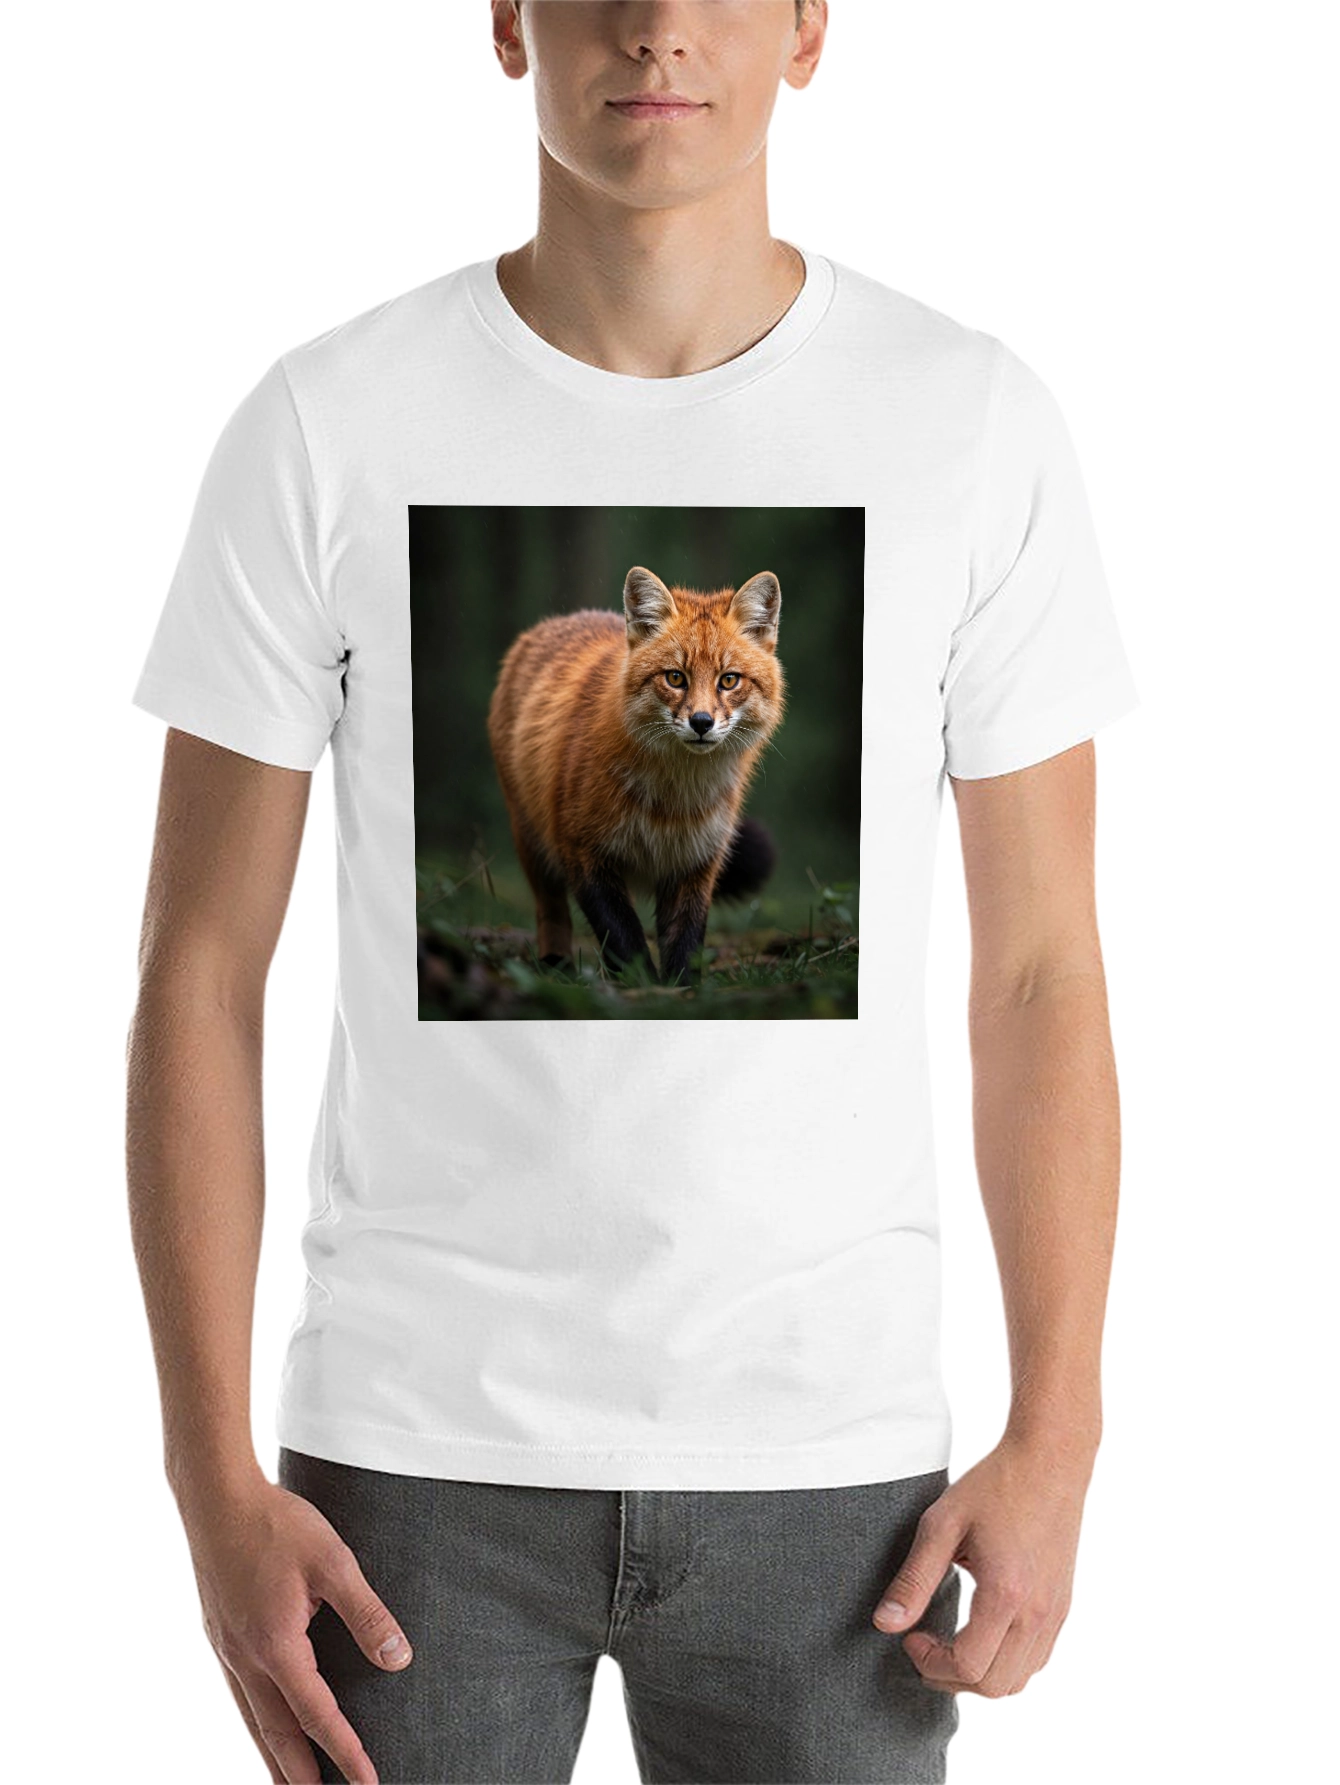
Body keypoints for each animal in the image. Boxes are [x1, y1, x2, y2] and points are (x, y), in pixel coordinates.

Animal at [486, 564, 786, 985]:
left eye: (729, 680)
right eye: (675, 678)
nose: (701, 722)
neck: (670, 805)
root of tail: (562, 619)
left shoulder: (696, 860)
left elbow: (685, 940)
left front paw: (681, 990)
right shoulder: (582, 851)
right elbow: (623, 937)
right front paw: (643, 987)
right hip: (531, 841)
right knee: (551, 912)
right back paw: (555, 964)